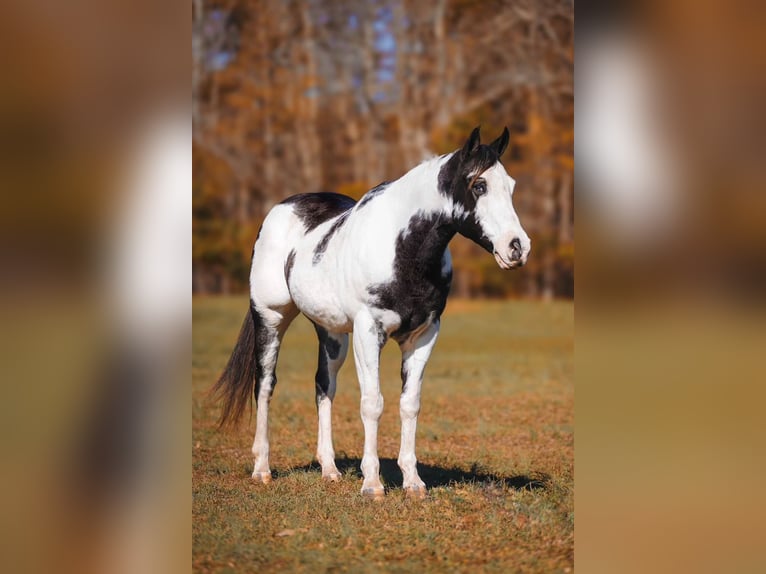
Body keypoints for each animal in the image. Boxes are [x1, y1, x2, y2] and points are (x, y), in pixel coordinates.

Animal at [213, 126, 532, 500]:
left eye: (511, 185)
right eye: (479, 185)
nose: (518, 247)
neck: (403, 251)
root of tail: (282, 209)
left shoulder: (423, 336)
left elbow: (409, 404)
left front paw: (413, 482)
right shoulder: (368, 332)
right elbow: (372, 403)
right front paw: (373, 484)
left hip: (331, 333)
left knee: (324, 385)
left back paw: (330, 470)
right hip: (271, 317)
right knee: (264, 384)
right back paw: (262, 469)